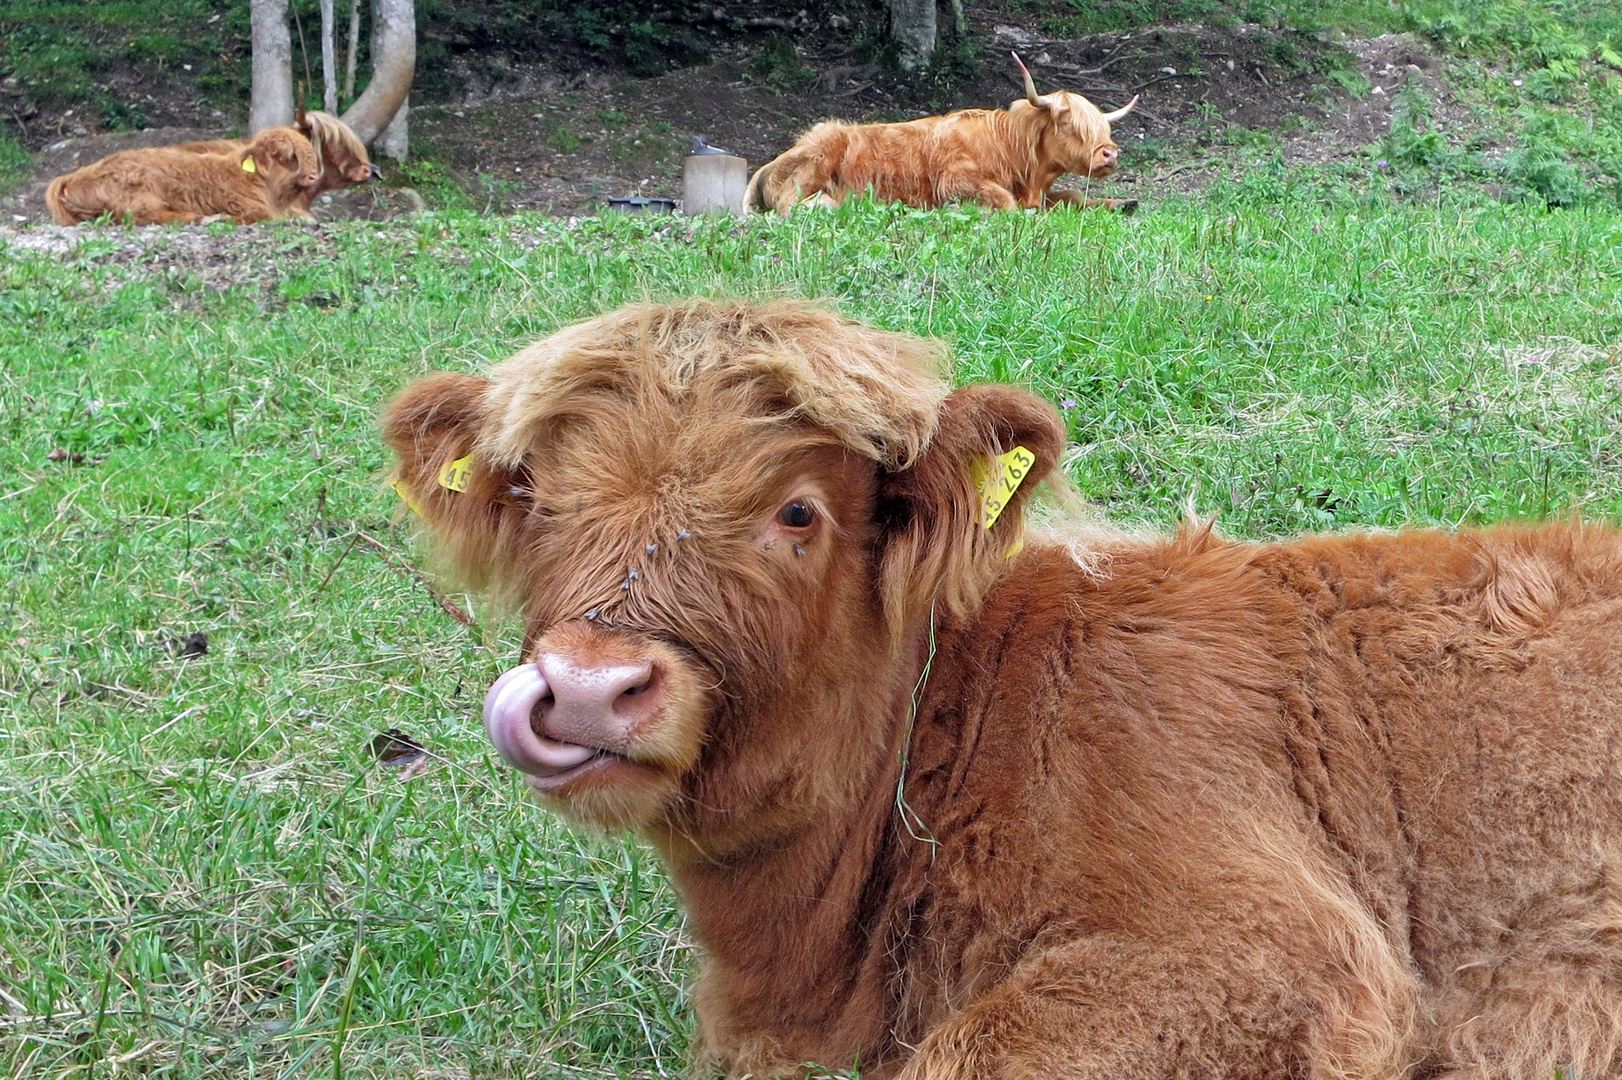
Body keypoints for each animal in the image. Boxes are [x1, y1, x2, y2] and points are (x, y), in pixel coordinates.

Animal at [46, 126, 319, 225]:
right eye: (288, 155)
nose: (313, 177)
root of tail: (71, 178)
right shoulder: (249, 207)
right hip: (140, 193)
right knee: (142, 215)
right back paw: (209, 218)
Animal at [749, 53, 1141, 214]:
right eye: (1069, 123)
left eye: (1103, 126)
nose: (1110, 154)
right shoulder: (955, 181)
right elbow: (1005, 202)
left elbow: (1072, 195)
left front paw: (1122, 203)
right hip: (816, 166)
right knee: (794, 205)